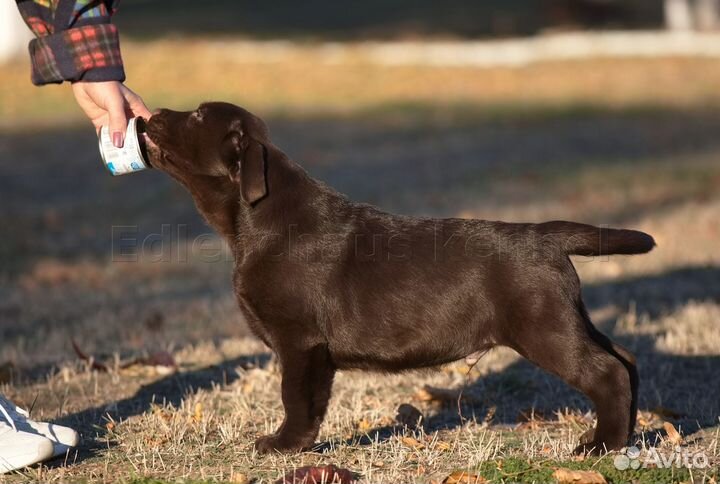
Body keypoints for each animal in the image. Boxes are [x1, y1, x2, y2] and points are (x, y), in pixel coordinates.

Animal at [143, 102, 656, 454]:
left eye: (196, 115)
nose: (154, 113)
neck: (253, 220)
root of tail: (546, 236)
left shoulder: (300, 341)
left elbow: (294, 397)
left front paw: (283, 445)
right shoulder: (315, 352)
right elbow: (314, 401)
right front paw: (302, 445)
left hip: (544, 327)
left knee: (608, 371)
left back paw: (601, 447)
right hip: (566, 318)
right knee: (625, 358)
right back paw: (623, 438)